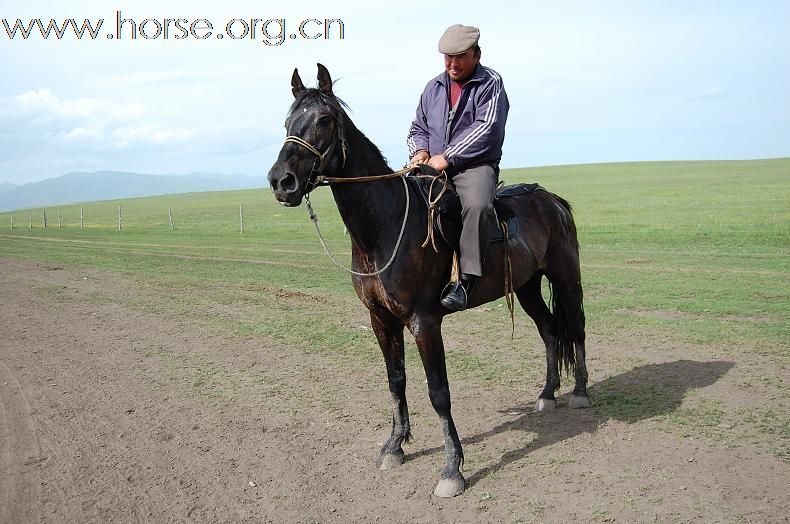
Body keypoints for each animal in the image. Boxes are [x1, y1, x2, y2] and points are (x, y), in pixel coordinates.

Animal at [270, 64, 592, 496]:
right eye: (288, 122)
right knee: (550, 330)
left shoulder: (424, 321)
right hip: (526, 287)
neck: (385, 225)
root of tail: (552, 200)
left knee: (576, 326)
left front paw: (452, 468)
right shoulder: (381, 319)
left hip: (566, 277)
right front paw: (394, 446)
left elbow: (438, 392)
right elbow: (396, 381)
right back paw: (547, 394)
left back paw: (579, 392)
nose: (281, 181)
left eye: (323, 120)